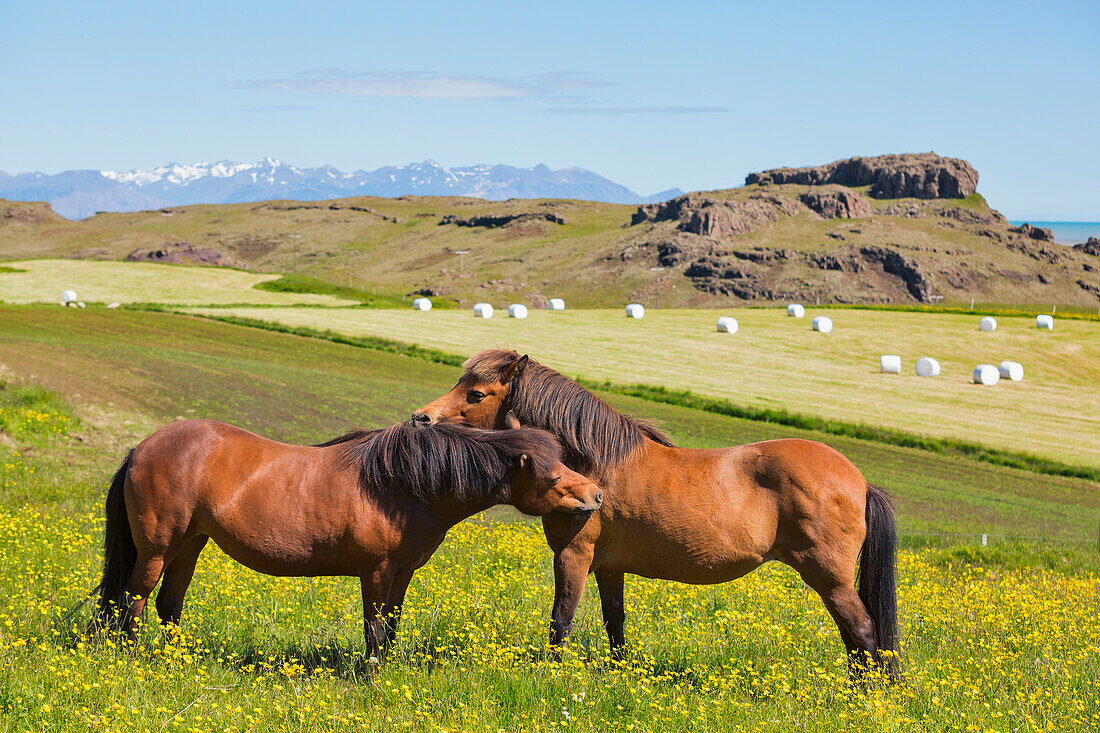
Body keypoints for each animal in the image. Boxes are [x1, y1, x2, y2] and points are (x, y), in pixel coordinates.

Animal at [95, 416, 607, 651]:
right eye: (551, 476)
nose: (597, 495)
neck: (401, 484)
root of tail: (142, 448)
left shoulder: (401, 574)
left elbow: (392, 626)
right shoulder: (376, 572)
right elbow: (375, 630)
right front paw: (370, 678)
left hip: (190, 545)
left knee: (167, 604)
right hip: (158, 548)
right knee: (131, 600)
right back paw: (129, 656)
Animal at [413, 347, 902, 673]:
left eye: (476, 394)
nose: (421, 418)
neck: (594, 466)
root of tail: (859, 481)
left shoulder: (573, 557)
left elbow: (561, 620)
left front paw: (545, 674)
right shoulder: (609, 568)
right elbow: (615, 625)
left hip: (829, 576)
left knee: (863, 632)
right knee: (855, 637)